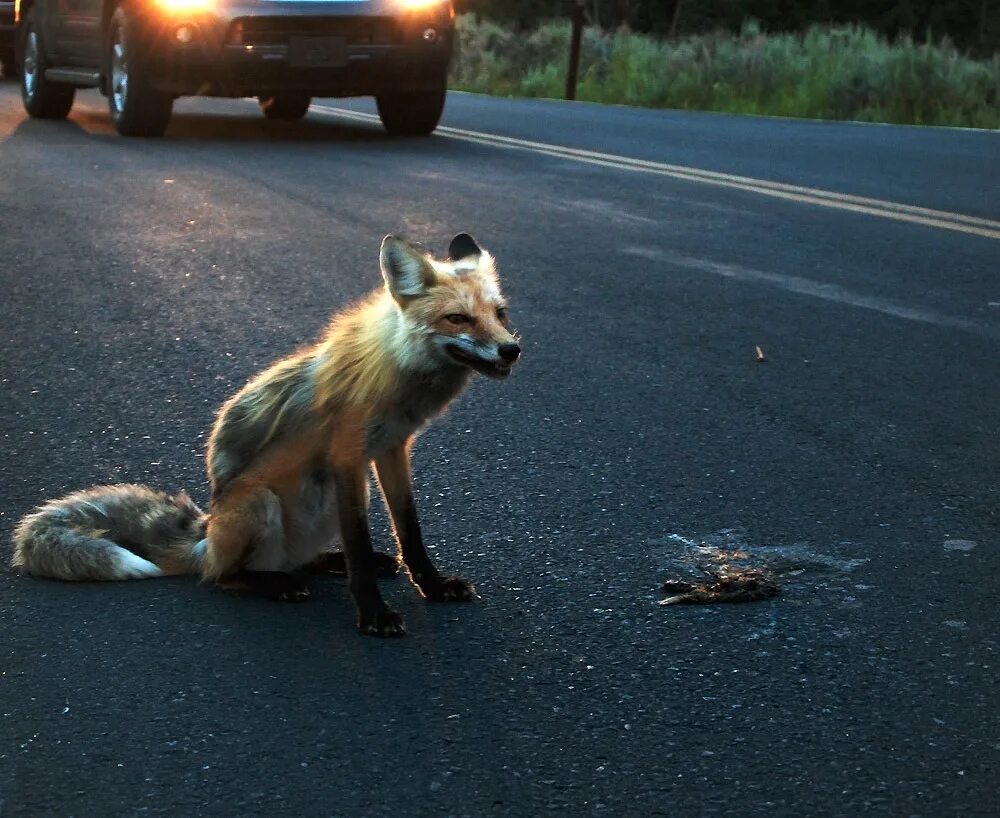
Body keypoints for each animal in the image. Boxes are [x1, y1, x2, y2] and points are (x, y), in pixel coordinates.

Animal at [9, 233, 524, 636]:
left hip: (318, 504)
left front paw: (431, 586)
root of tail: (206, 533)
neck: (400, 374)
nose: (511, 350)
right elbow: (358, 544)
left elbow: (409, 530)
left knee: (294, 560)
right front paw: (373, 614)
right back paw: (278, 585)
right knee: (224, 577)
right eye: (458, 319)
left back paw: (323, 565)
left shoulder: (392, 449)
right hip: (263, 501)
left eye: (500, 314)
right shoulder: (348, 459)